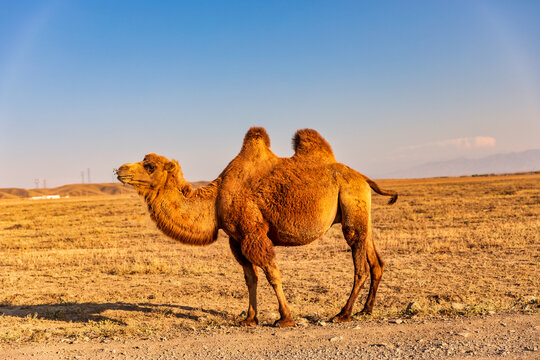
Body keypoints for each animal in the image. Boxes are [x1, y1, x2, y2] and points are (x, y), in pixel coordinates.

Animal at [116, 128, 396, 328]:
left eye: (149, 166)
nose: (120, 168)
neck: (216, 200)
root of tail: (362, 177)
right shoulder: (236, 239)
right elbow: (250, 278)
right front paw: (250, 318)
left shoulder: (253, 233)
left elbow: (272, 273)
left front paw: (285, 318)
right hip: (361, 211)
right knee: (375, 261)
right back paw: (366, 310)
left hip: (351, 203)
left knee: (360, 264)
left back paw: (343, 314)